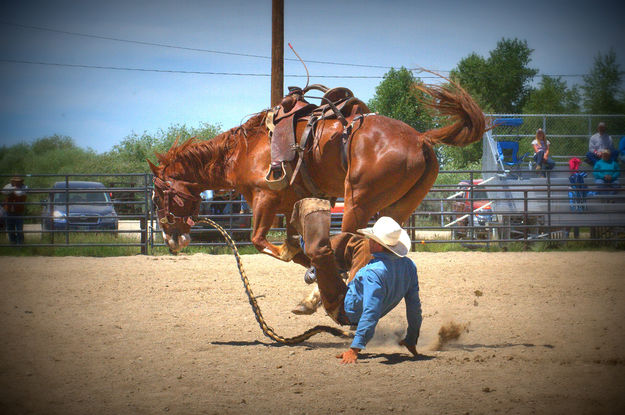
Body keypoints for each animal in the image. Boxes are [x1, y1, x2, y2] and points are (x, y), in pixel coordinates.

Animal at [149, 81, 486, 308]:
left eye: (156, 198)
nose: (171, 239)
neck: (243, 152)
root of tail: (421, 139)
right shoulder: (290, 205)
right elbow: (298, 244)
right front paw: (310, 266)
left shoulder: (264, 199)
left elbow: (263, 242)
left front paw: (307, 266)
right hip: (397, 208)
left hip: (359, 200)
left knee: (357, 244)